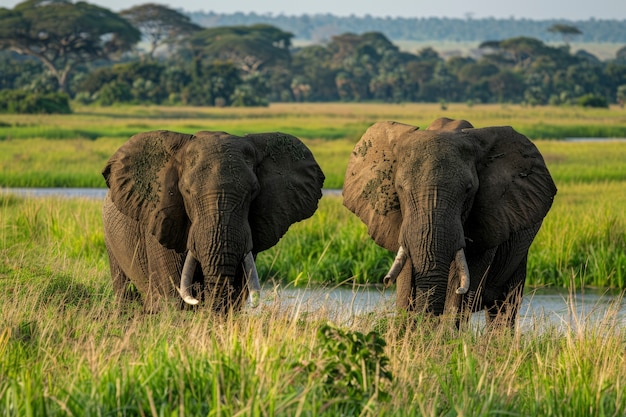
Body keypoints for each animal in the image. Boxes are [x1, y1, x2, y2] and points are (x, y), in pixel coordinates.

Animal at [342, 118, 556, 328]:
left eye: (469, 190)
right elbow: (405, 278)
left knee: (504, 308)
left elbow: (461, 287)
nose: (385, 280)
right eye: (399, 188)